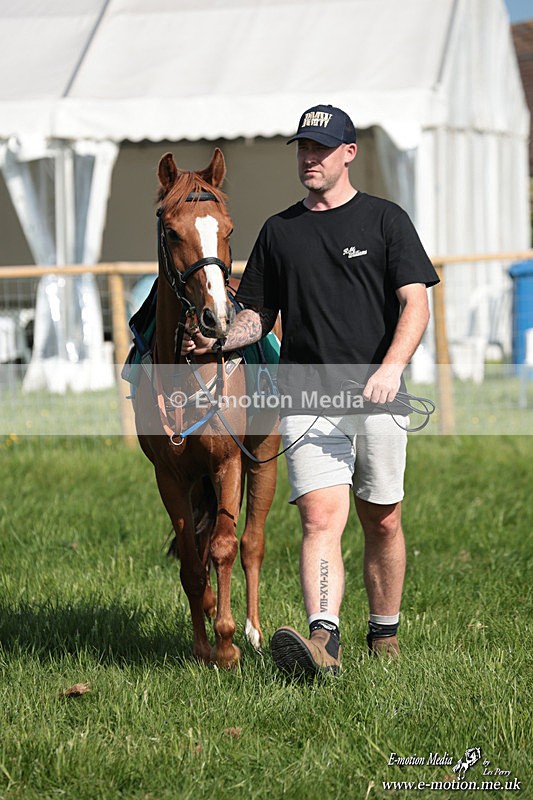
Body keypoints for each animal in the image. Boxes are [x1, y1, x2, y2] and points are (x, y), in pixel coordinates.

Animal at [132, 148, 280, 669]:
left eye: (229, 229)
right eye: (173, 231)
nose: (217, 319)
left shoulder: (228, 462)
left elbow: (224, 547)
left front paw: (227, 644)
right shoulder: (170, 477)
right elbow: (193, 563)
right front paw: (201, 647)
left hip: (263, 458)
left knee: (252, 543)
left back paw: (253, 631)